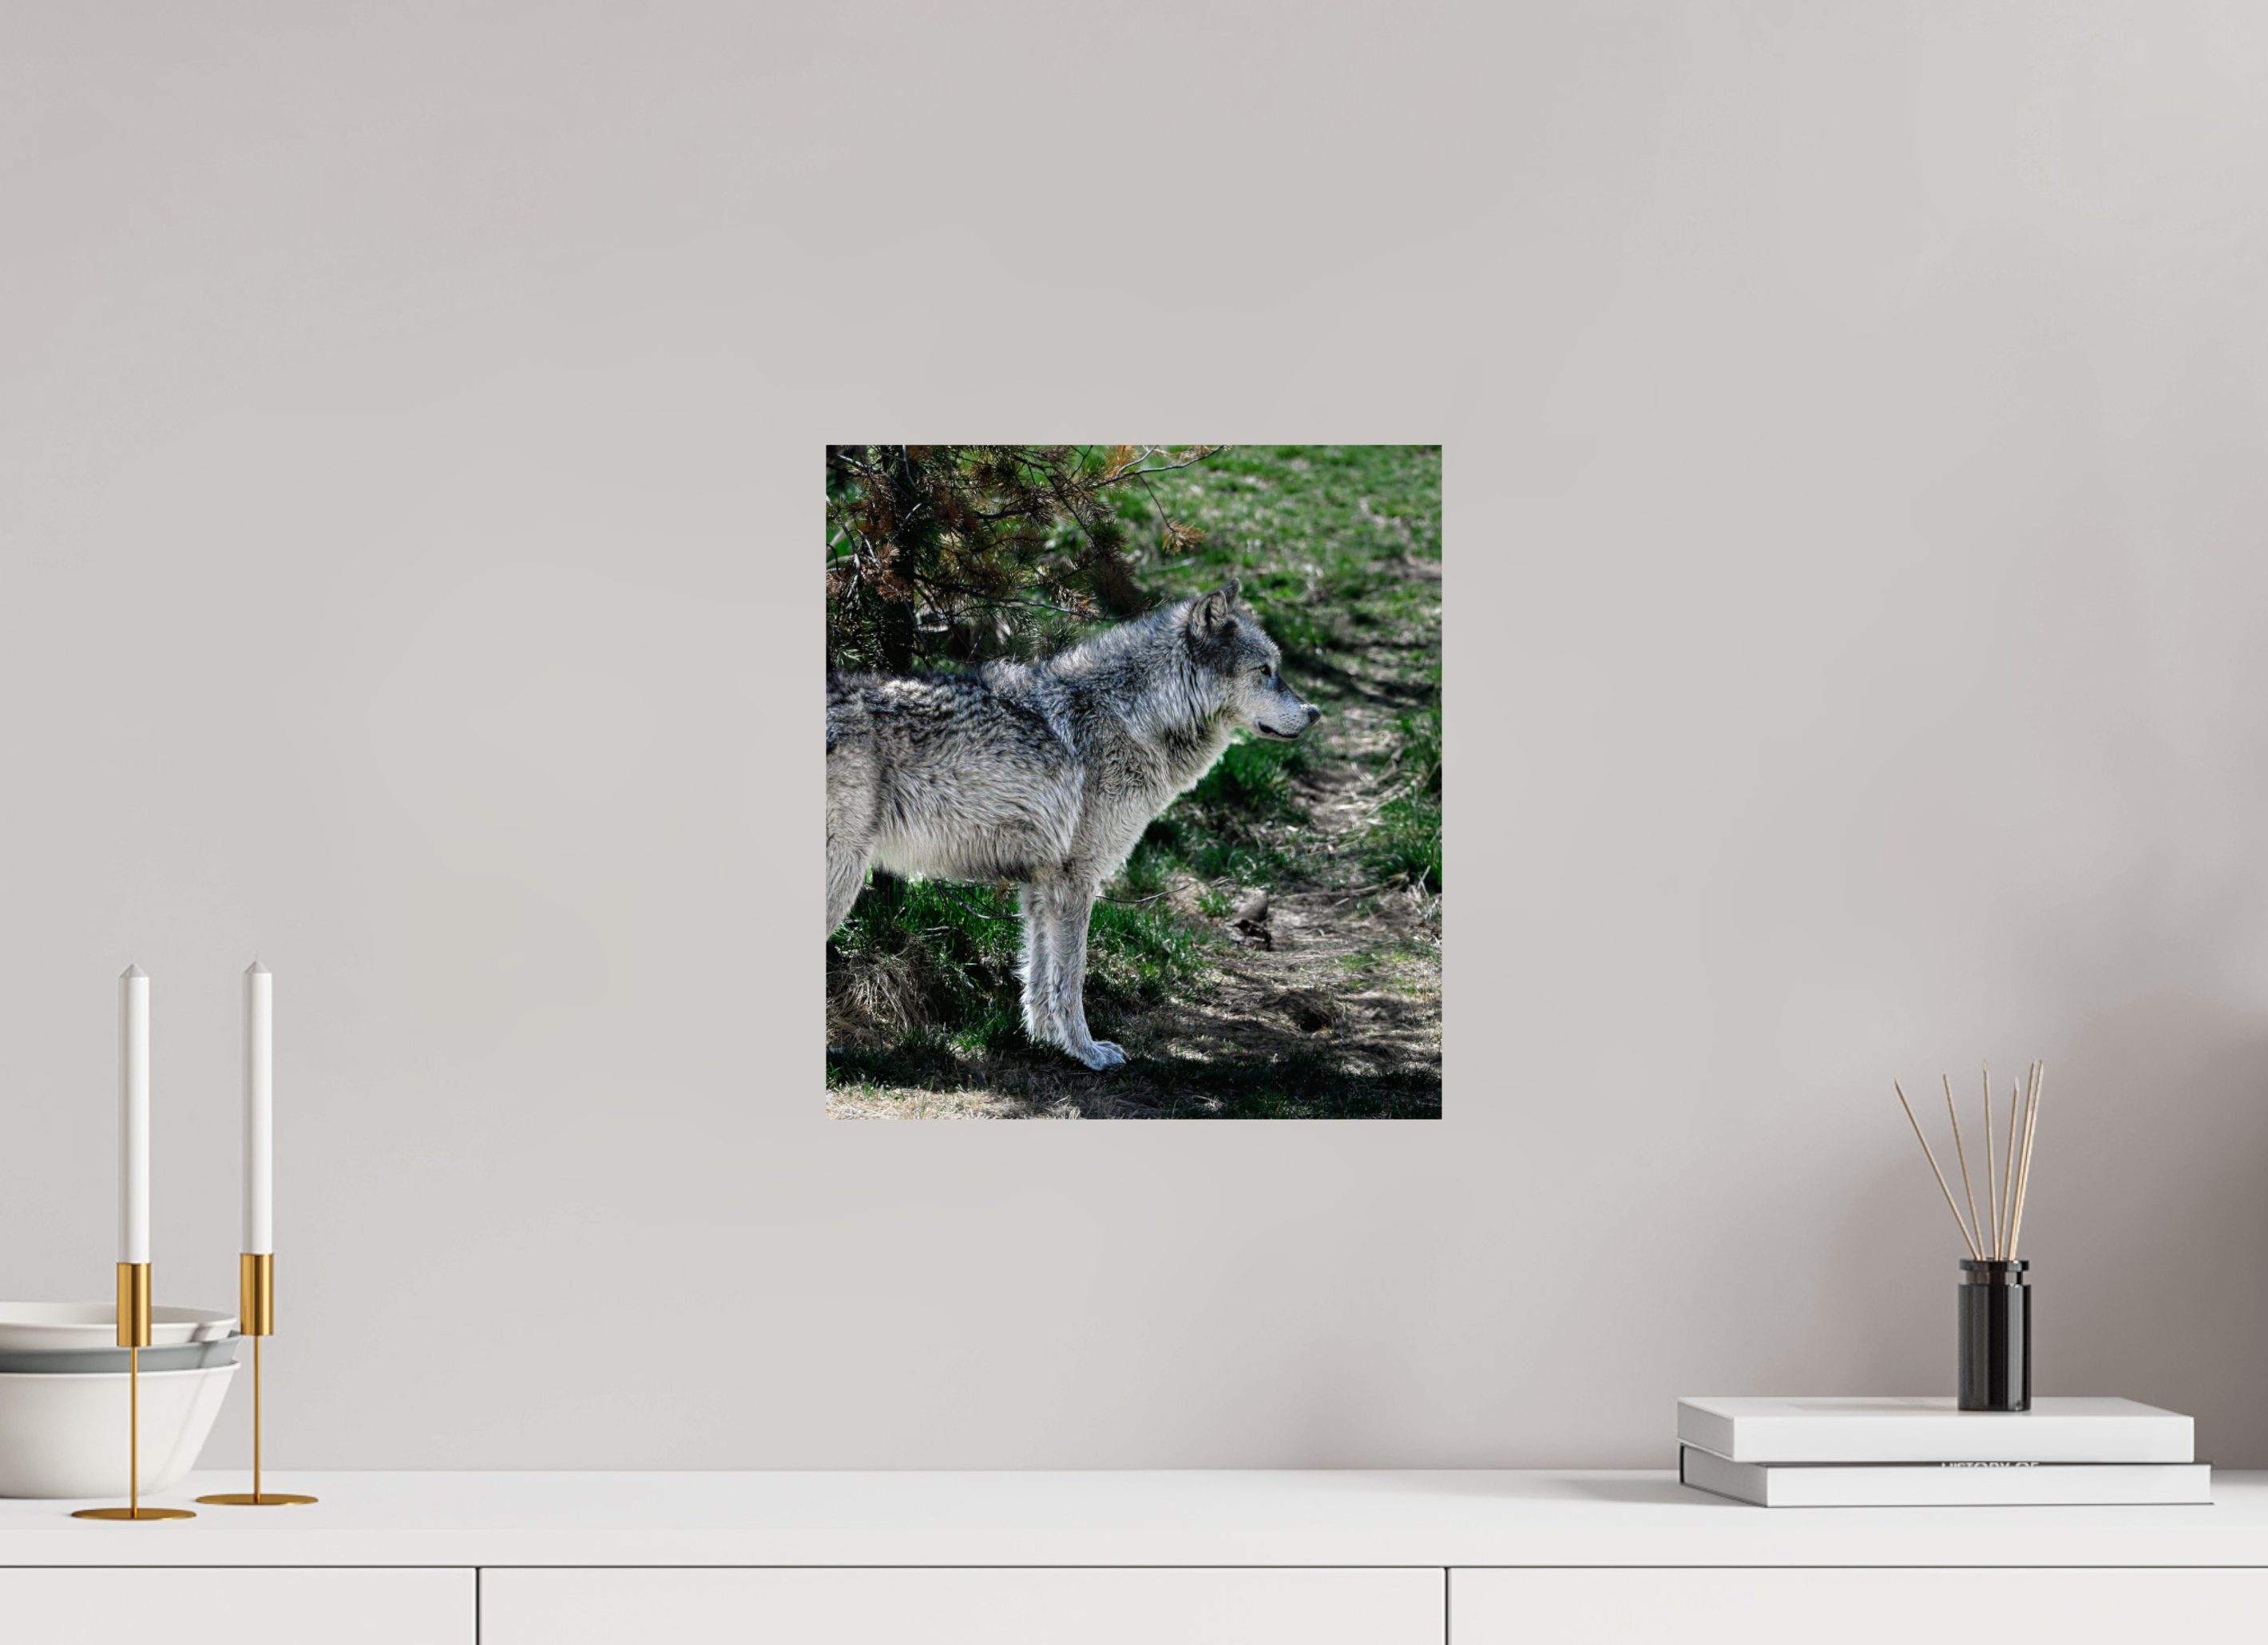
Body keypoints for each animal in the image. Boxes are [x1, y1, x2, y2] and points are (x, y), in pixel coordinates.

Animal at [827, 581, 1321, 1070]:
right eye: (1264, 670)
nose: (1314, 712)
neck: (1135, 717)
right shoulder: (1076, 879)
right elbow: (1073, 978)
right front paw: (1088, 1052)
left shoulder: (1041, 884)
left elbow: (1040, 976)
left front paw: (1048, 1040)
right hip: (844, 879)